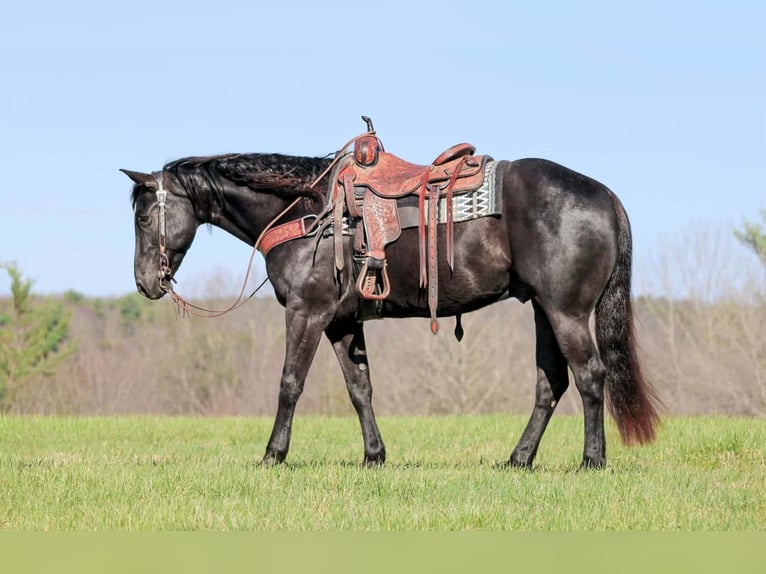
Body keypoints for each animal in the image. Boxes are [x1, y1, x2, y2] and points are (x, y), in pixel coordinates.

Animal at [122, 135, 659, 470]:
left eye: (144, 217)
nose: (146, 283)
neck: (307, 211)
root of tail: (605, 196)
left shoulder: (307, 313)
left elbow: (290, 384)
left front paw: (273, 454)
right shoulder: (341, 322)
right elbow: (360, 389)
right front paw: (374, 456)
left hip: (567, 312)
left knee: (589, 377)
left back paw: (592, 460)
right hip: (544, 311)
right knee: (551, 383)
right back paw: (519, 459)